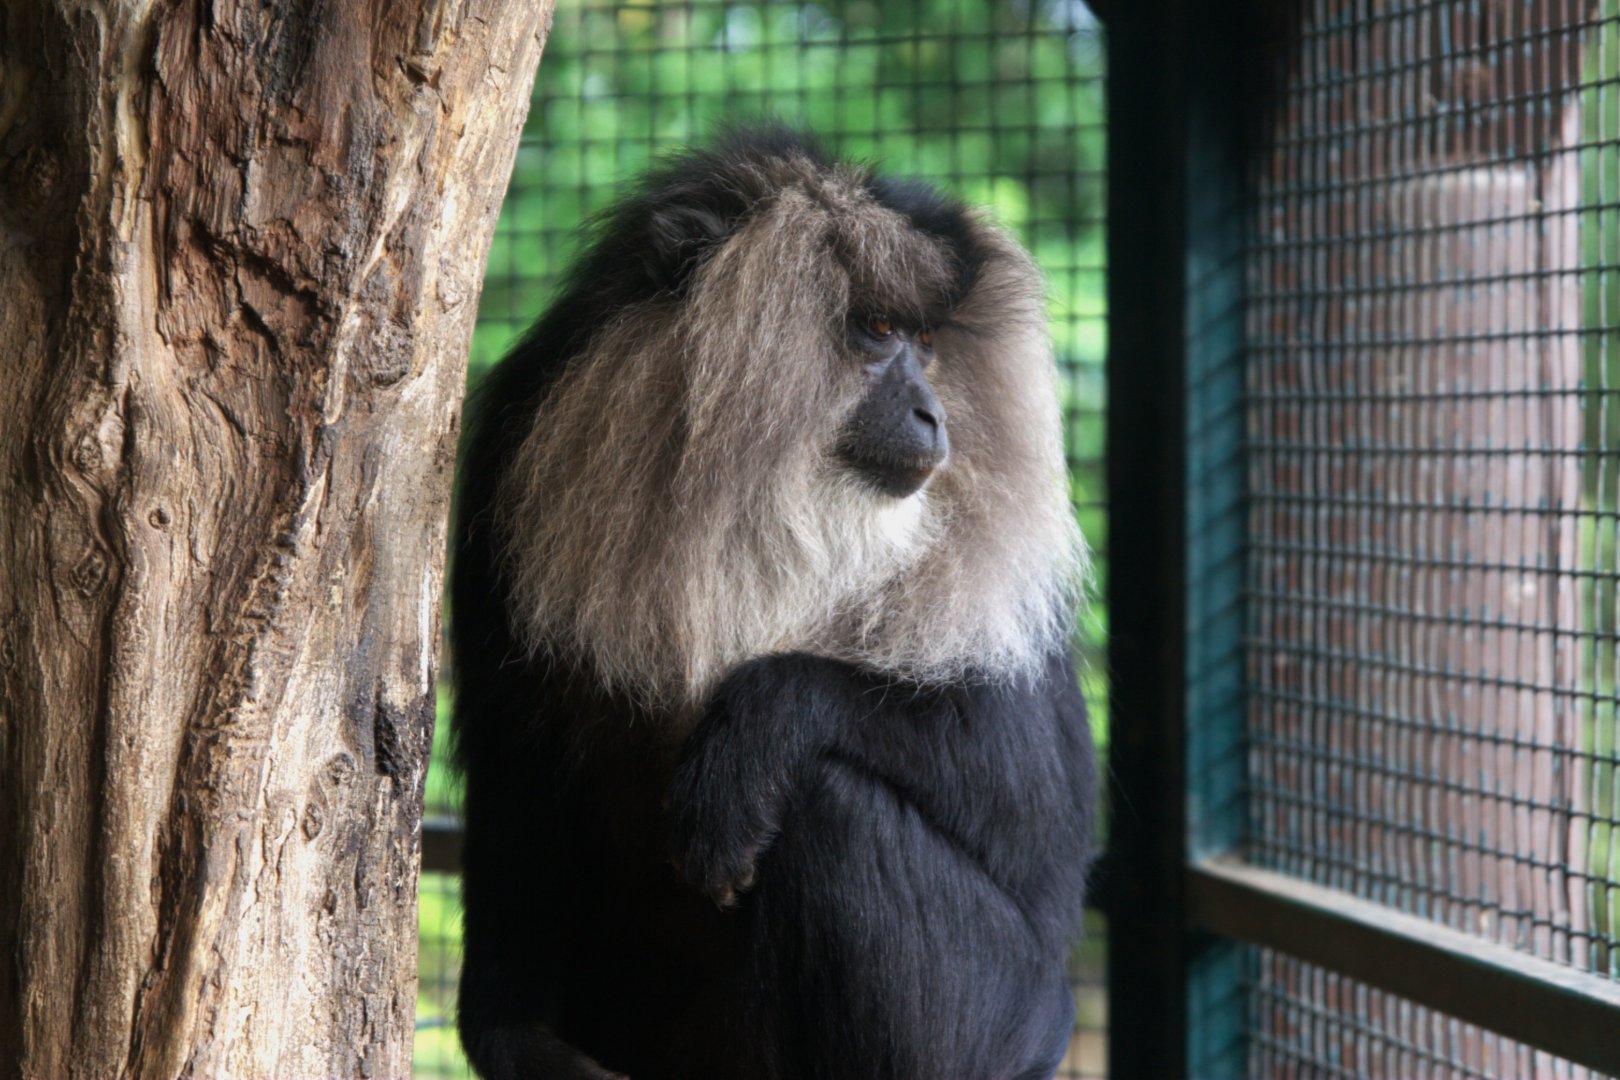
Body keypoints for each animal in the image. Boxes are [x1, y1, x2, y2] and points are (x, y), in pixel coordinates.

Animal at [449, 126, 1096, 1080]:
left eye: (928, 342)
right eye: (879, 330)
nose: (933, 416)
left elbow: (1025, 784)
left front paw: (756, 724)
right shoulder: (509, 469)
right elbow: (515, 776)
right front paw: (515, 1039)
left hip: (991, 1018)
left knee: (830, 805)